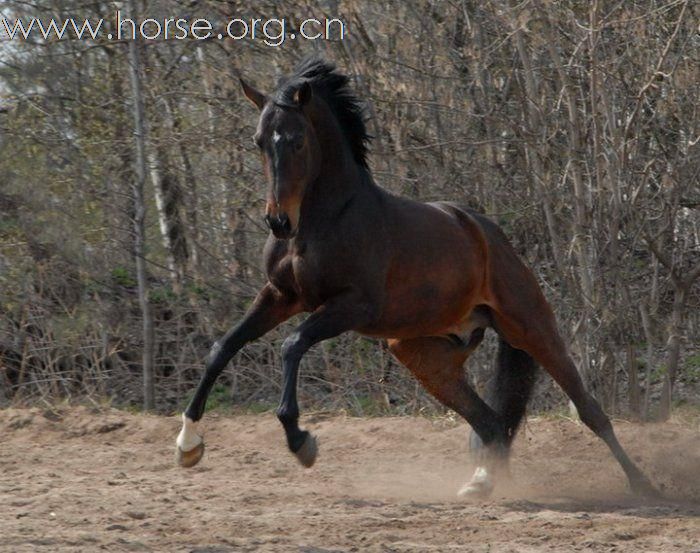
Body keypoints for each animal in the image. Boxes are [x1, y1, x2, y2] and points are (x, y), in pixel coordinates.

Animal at [175, 56, 656, 496]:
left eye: (295, 140)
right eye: (258, 141)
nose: (278, 222)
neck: (323, 221)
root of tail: (489, 235)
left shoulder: (349, 306)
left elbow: (291, 345)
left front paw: (300, 441)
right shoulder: (280, 295)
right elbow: (222, 347)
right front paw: (187, 444)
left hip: (532, 328)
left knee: (589, 410)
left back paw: (644, 485)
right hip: (422, 354)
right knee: (490, 422)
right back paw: (481, 483)